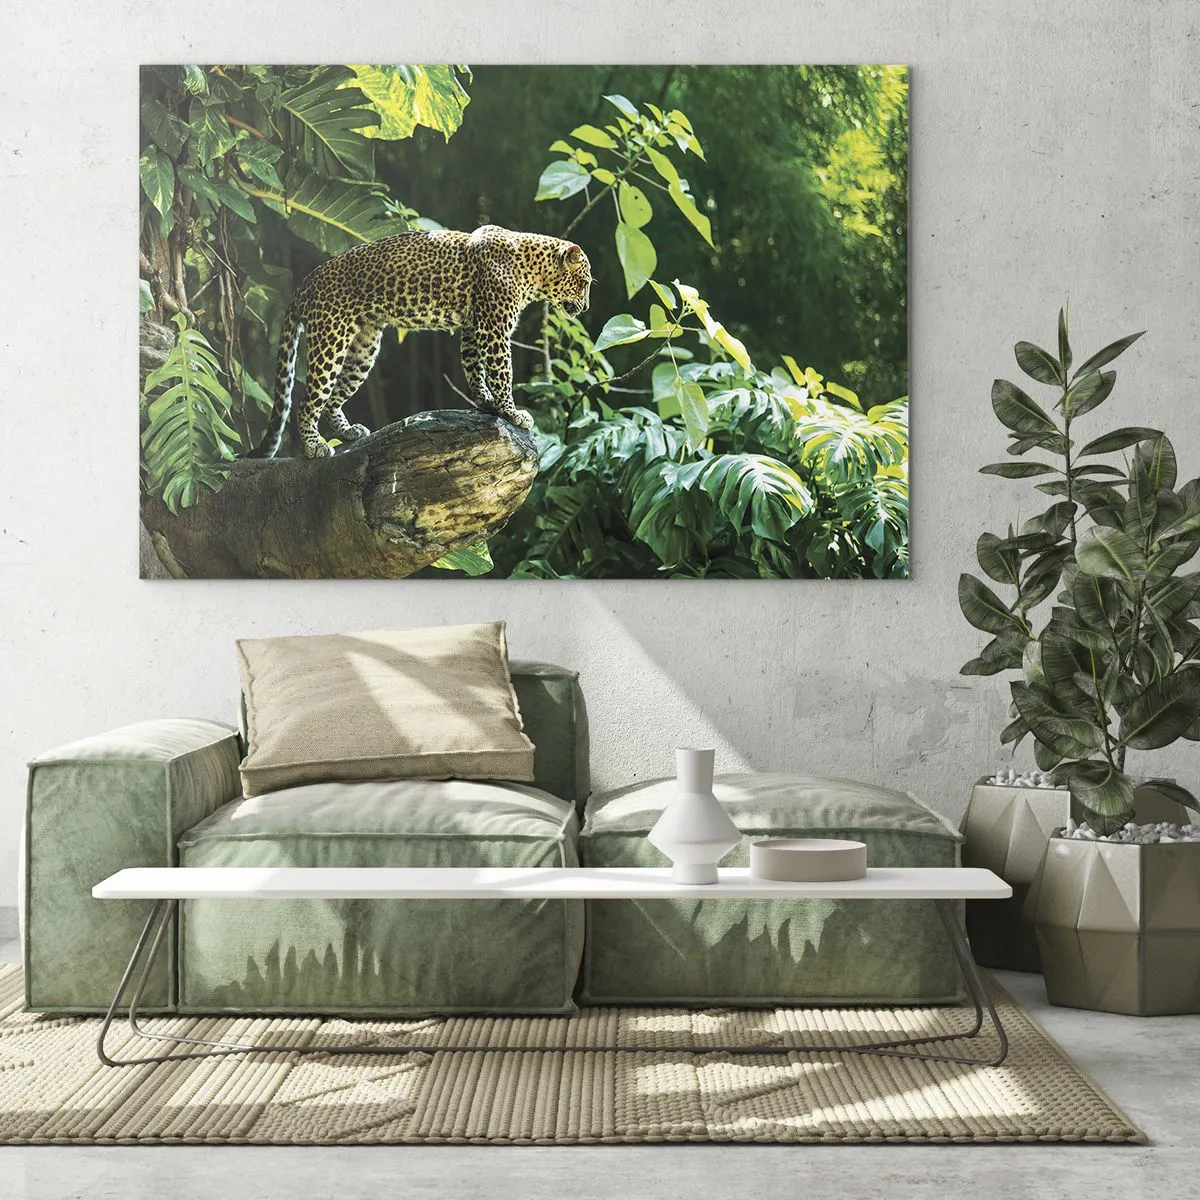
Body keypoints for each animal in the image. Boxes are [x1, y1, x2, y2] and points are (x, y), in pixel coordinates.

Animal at [249, 224, 592, 459]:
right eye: (585, 282)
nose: (587, 307)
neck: (532, 270)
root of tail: (306, 281)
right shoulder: (494, 329)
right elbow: (501, 373)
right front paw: (512, 412)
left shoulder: (473, 328)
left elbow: (474, 368)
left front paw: (486, 403)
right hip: (330, 339)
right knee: (307, 401)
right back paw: (314, 447)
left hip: (364, 347)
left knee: (333, 398)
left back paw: (348, 432)